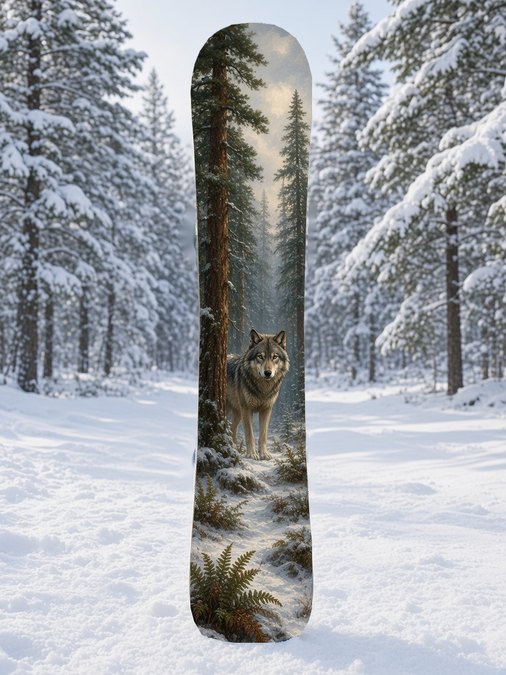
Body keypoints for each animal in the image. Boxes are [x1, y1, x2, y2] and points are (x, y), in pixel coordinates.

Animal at [227, 328, 289, 460]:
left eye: (274, 357)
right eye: (260, 356)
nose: (268, 373)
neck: (263, 389)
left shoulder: (266, 409)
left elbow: (263, 435)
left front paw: (264, 454)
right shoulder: (247, 409)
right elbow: (249, 434)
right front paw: (251, 454)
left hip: (238, 413)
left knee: (232, 428)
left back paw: (234, 448)